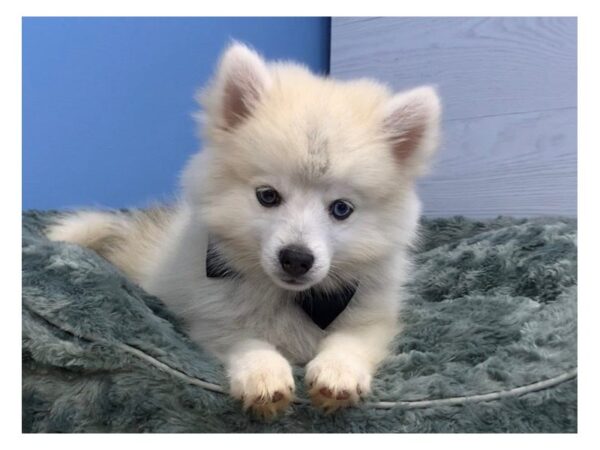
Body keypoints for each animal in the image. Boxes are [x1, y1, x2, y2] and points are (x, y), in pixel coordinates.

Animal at [47, 43, 440, 418]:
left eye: (341, 209)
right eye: (267, 196)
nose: (296, 258)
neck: (290, 296)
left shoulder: (372, 316)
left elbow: (350, 340)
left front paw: (337, 374)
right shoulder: (208, 318)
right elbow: (246, 340)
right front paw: (263, 375)